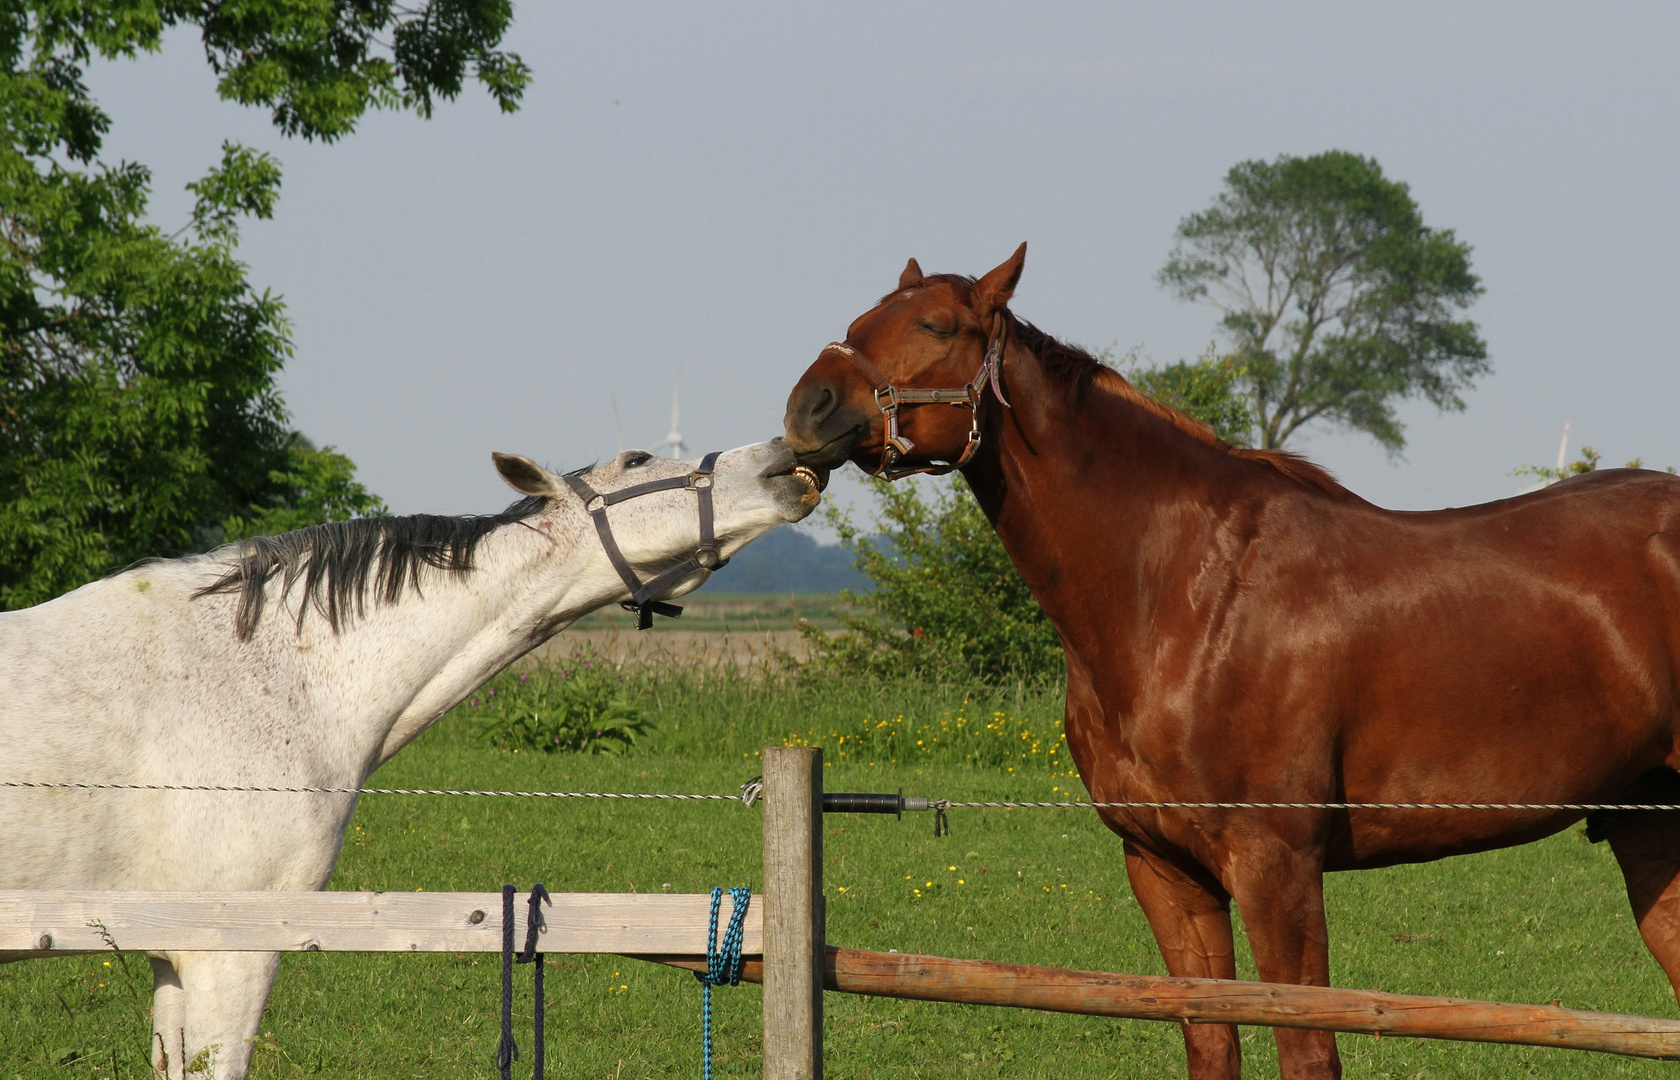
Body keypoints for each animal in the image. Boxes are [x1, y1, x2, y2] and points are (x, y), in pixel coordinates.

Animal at [779, 245, 1680, 1080]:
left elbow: (1307, 1050)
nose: (806, 408)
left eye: (936, 326)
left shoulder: (1277, 867)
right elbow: (1211, 1041)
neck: (1187, 591)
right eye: (861, 318)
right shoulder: (1166, 871)